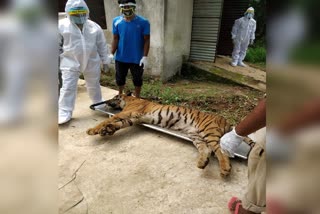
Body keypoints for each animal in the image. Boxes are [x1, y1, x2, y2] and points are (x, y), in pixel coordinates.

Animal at [86, 94, 254, 177]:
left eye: (114, 98)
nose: (106, 102)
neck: (129, 100)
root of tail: (225, 120)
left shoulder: (128, 113)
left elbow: (109, 119)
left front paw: (93, 130)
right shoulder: (132, 119)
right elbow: (116, 125)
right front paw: (106, 130)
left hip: (209, 132)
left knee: (220, 151)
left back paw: (225, 169)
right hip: (196, 136)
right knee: (206, 150)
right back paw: (202, 163)